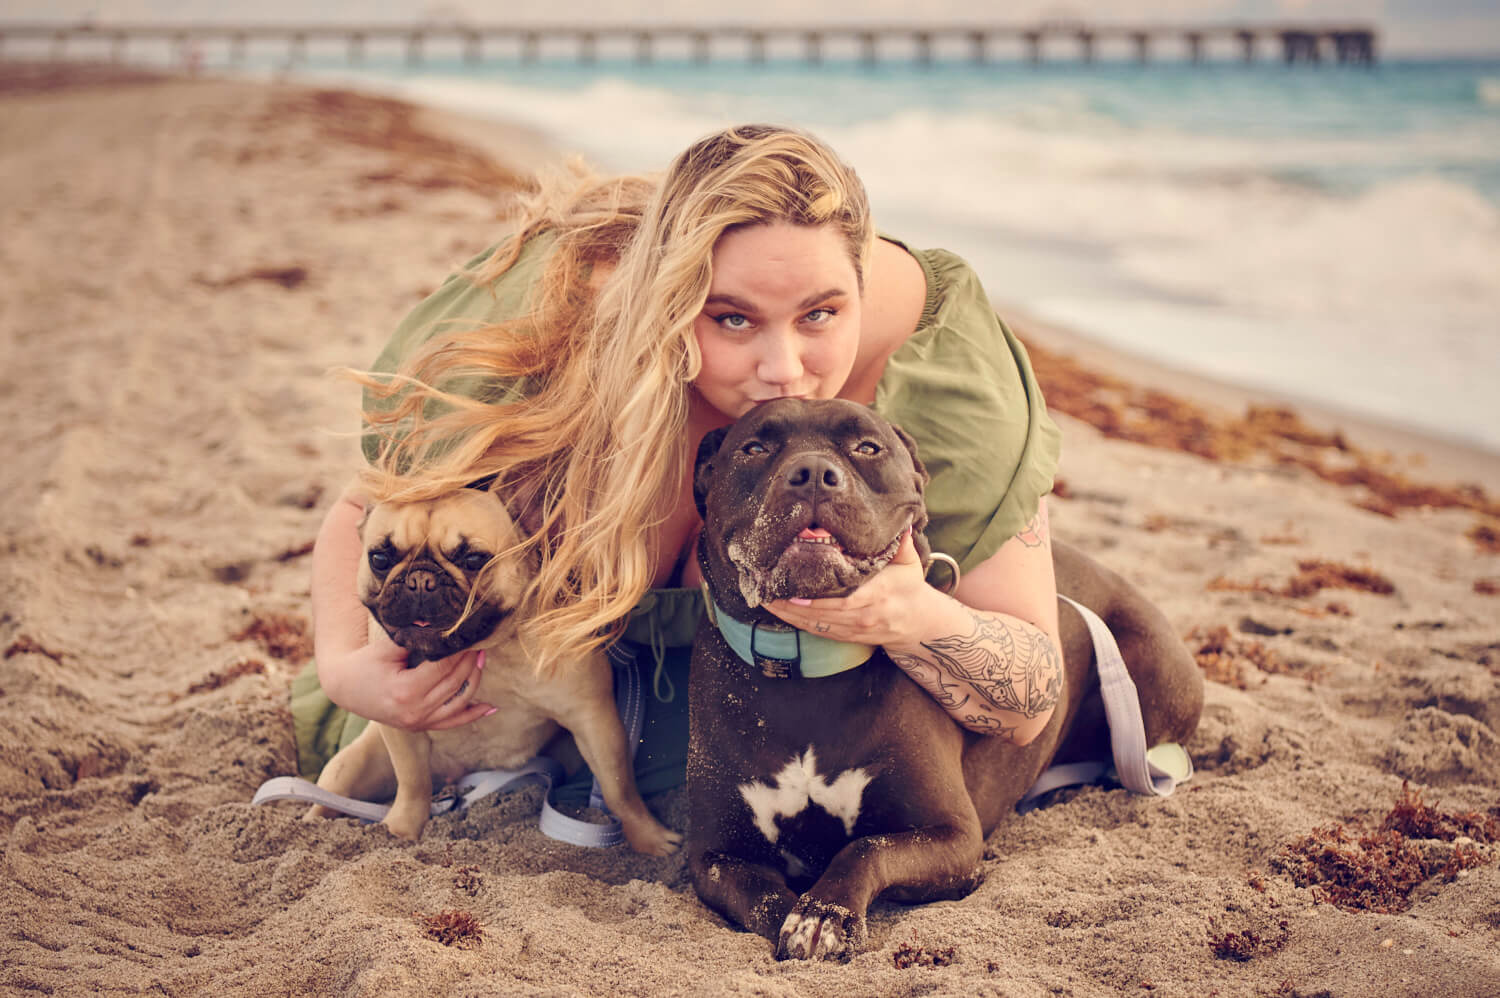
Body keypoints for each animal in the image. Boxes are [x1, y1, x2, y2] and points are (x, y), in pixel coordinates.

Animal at [313, 486, 684, 852]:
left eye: (474, 559)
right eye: (380, 558)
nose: (420, 580)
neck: (487, 651)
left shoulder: (593, 719)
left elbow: (618, 788)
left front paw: (649, 839)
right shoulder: (400, 730)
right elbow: (413, 783)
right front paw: (401, 830)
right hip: (352, 764)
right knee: (330, 796)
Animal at [687, 396, 1200, 960]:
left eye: (868, 447)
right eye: (755, 448)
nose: (814, 474)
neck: (808, 666)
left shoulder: (954, 836)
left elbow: (866, 848)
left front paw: (825, 912)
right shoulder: (717, 856)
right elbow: (763, 896)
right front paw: (802, 918)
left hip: (1156, 675)